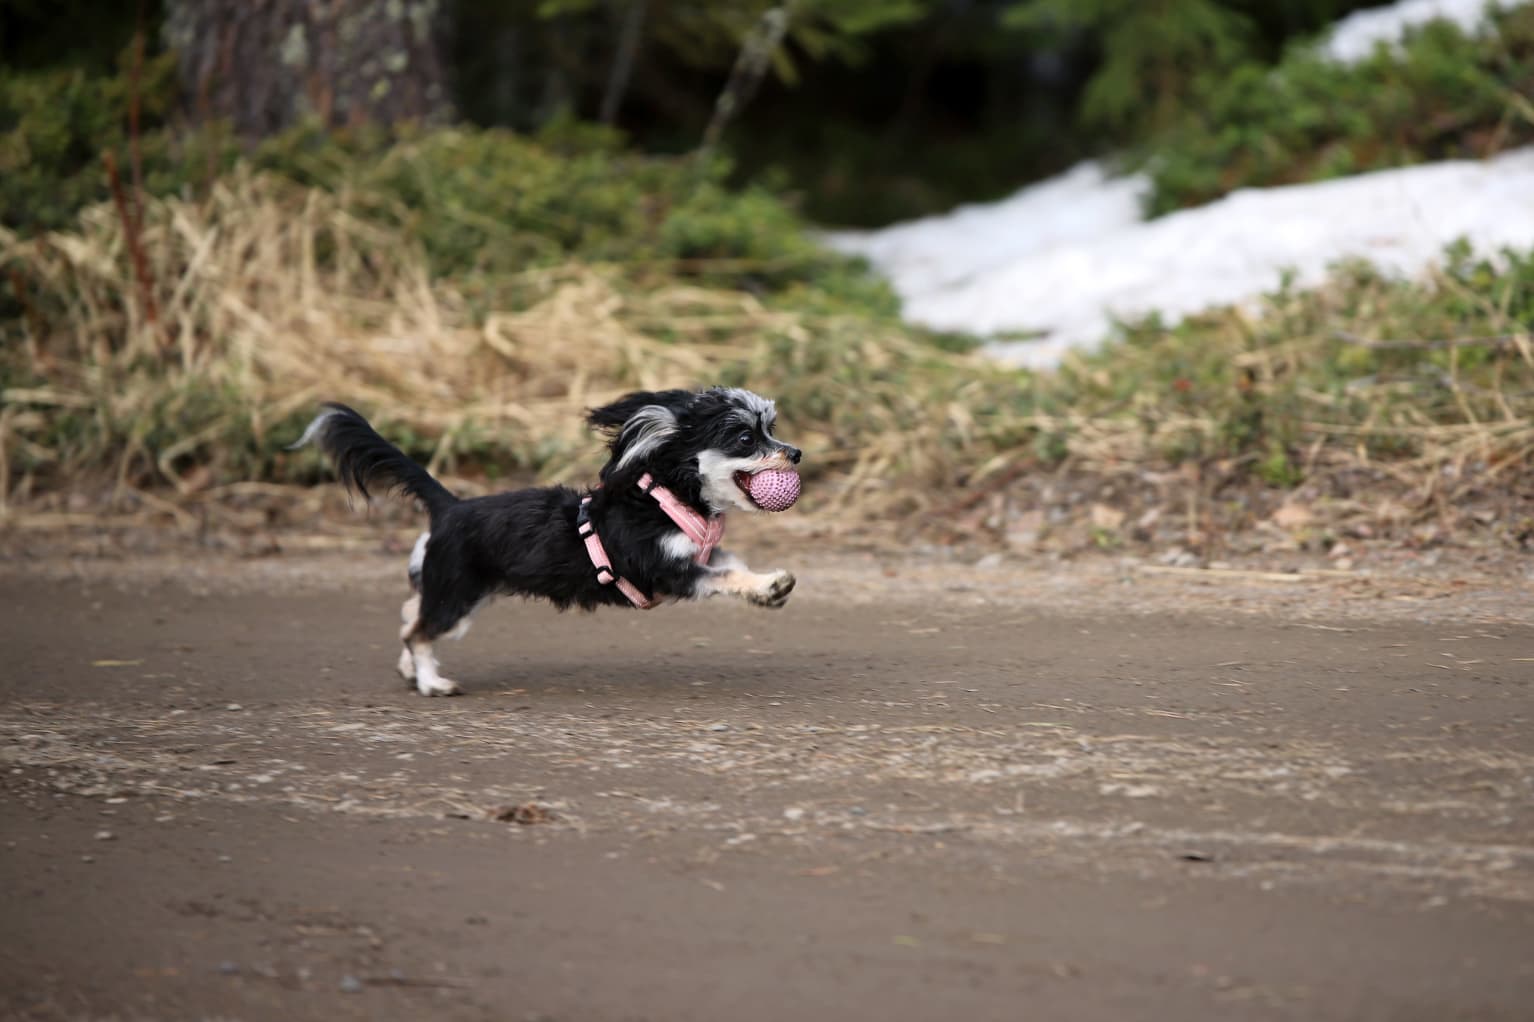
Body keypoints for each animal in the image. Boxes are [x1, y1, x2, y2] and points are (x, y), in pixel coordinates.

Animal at [292, 386, 809, 696]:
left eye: (771, 429)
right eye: (745, 438)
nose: (797, 452)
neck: (666, 497)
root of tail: (449, 506)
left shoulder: (699, 553)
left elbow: (731, 562)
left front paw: (767, 587)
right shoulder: (666, 570)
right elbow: (723, 575)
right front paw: (768, 587)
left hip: (457, 595)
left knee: (409, 614)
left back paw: (411, 670)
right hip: (457, 597)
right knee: (417, 630)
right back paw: (432, 683)